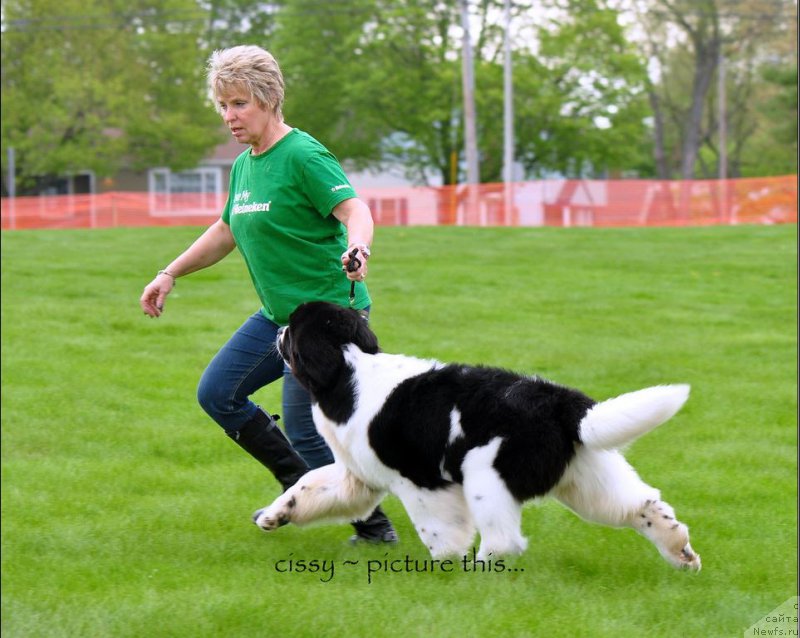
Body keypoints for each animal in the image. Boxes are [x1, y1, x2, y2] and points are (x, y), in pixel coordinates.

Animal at [256, 302, 700, 572]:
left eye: (293, 331)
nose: (277, 329)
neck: (349, 372)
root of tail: (561, 403)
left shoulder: (421, 481)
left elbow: (438, 528)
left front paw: (444, 564)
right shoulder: (358, 474)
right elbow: (309, 485)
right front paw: (274, 515)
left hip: (487, 474)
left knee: (504, 539)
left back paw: (480, 570)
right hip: (586, 474)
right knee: (639, 505)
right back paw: (679, 549)